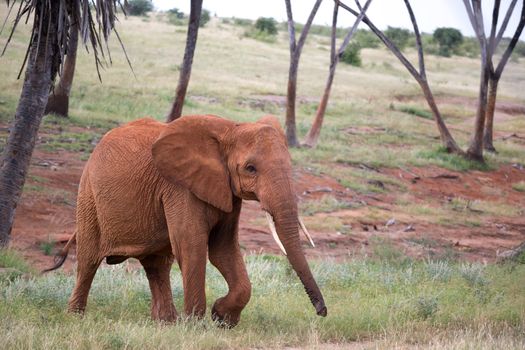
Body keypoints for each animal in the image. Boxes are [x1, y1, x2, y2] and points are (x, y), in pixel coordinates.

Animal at [48, 114, 328, 326]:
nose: (321, 311)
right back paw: (75, 318)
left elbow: (223, 250)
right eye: (250, 169)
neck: (231, 127)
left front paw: (221, 318)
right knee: (88, 260)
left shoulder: (225, 191)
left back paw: (165, 323)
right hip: (88, 196)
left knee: (157, 266)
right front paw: (196, 324)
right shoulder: (180, 188)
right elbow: (192, 245)